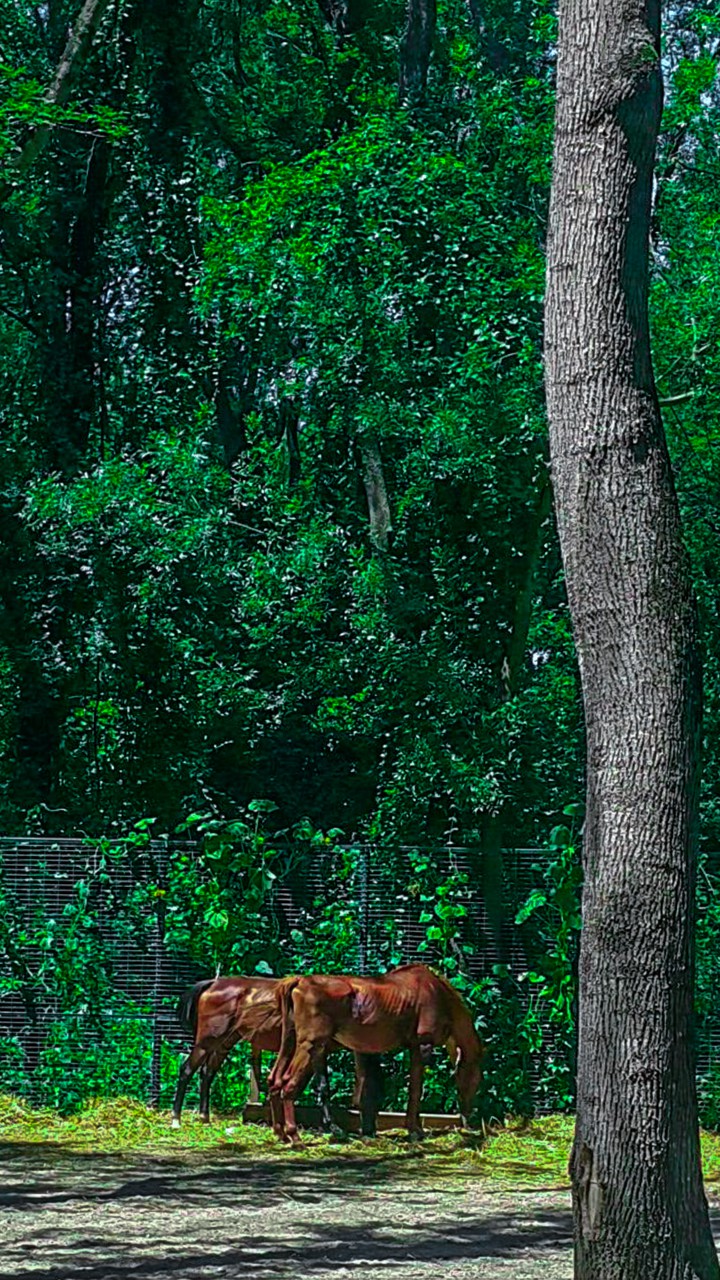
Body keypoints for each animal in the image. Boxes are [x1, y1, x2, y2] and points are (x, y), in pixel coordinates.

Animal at [172, 974, 337, 1129]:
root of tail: (213, 983)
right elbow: (317, 1085)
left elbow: (318, 1084)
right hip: (207, 1041)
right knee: (187, 1069)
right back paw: (176, 1120)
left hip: (225, 1042)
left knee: (207, 1072)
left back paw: (204, 1117)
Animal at [268, 963, 484, 1144]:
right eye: (475, 1078)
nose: (469, 1117)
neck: (437, 992)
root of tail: (300, 981)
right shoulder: (421, 1046)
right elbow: (415, 1090)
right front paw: (414, 1131)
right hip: (308, 1045)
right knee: (288, 1085)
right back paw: (295, 1137)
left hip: (295, 1043)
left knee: (275, 1081)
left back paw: (282, 1133)